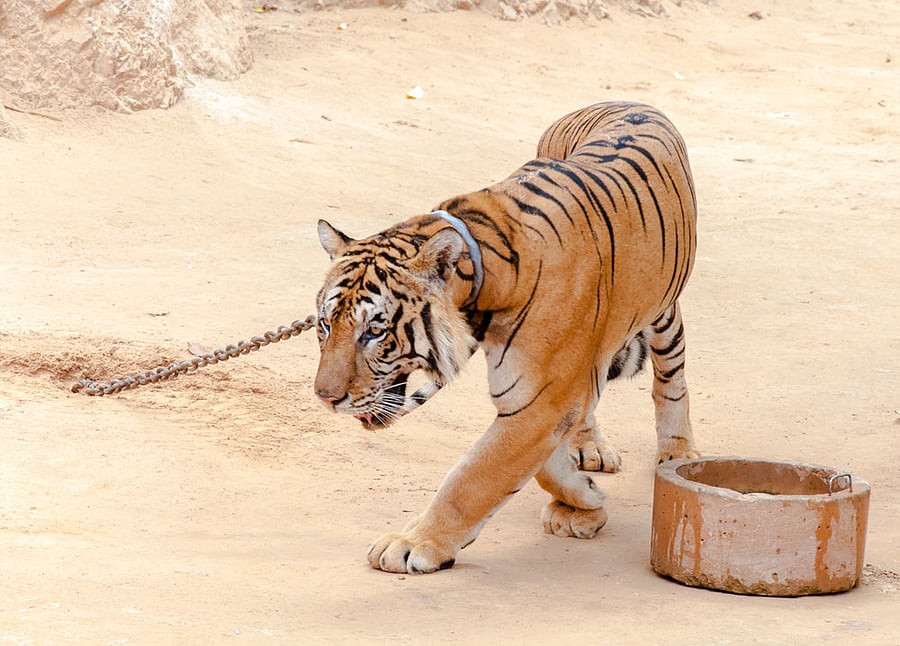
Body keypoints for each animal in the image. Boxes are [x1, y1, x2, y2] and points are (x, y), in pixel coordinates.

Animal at [314, 101, 699, 574]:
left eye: (374, 330)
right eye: (325, 324)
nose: (325, 398)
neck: (482, 287)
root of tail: (621, 101)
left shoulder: (540, 399)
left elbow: (473, 477)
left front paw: (410, 544)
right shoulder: (545, 397)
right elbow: (542, 465)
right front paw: (583, 498)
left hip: (664, 312)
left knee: (671, 380)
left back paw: (677, 453)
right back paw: (589, 449)